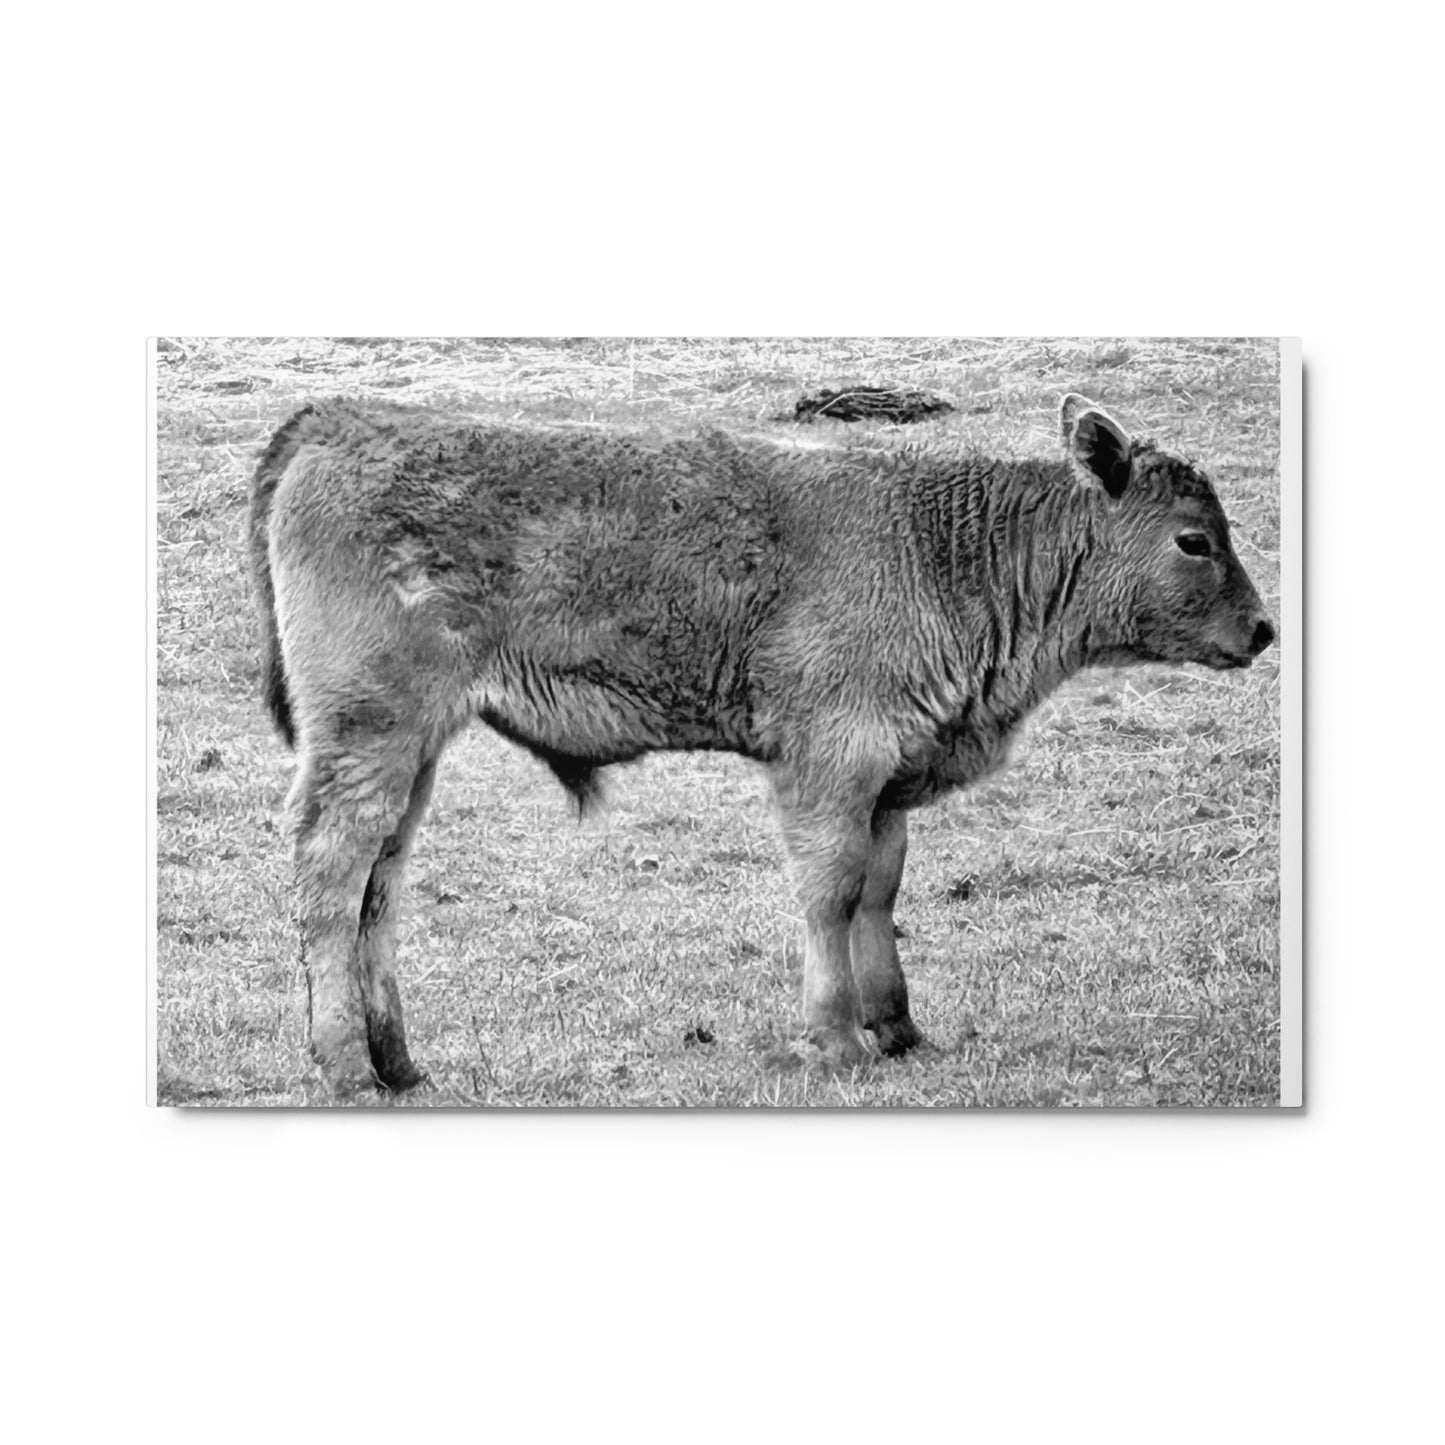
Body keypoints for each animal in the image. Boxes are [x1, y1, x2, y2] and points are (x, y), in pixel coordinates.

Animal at [250, 393, 1275, 1096]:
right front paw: (834, 1037)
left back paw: (399, 1061)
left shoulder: (886, 780)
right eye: (1193, 539)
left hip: (411, 751)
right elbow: (830, 892)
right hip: (369, 735)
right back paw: (345, 1066)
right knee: (331, 869)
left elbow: (878, 889)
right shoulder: (830, 763)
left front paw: (897, 1027)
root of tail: (336, 419)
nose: (1264, 629)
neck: (939, 546)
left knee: (379, 883)